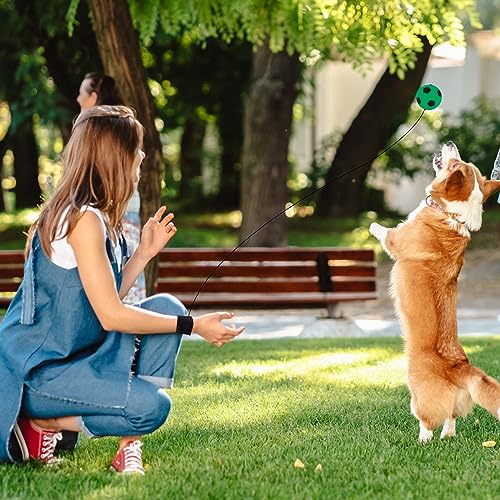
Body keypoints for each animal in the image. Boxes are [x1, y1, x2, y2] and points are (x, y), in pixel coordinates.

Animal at [368, 141, 500, 442]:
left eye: (455, 165)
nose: (450, 143)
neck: (451, 214)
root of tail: (459, 366)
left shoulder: (396, 240)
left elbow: (386, 233)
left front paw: (372, 224)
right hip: (456, 401)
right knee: (451, 418)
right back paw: (446, 437)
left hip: (417, 396)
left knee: (428, 421)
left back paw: (423, 440)